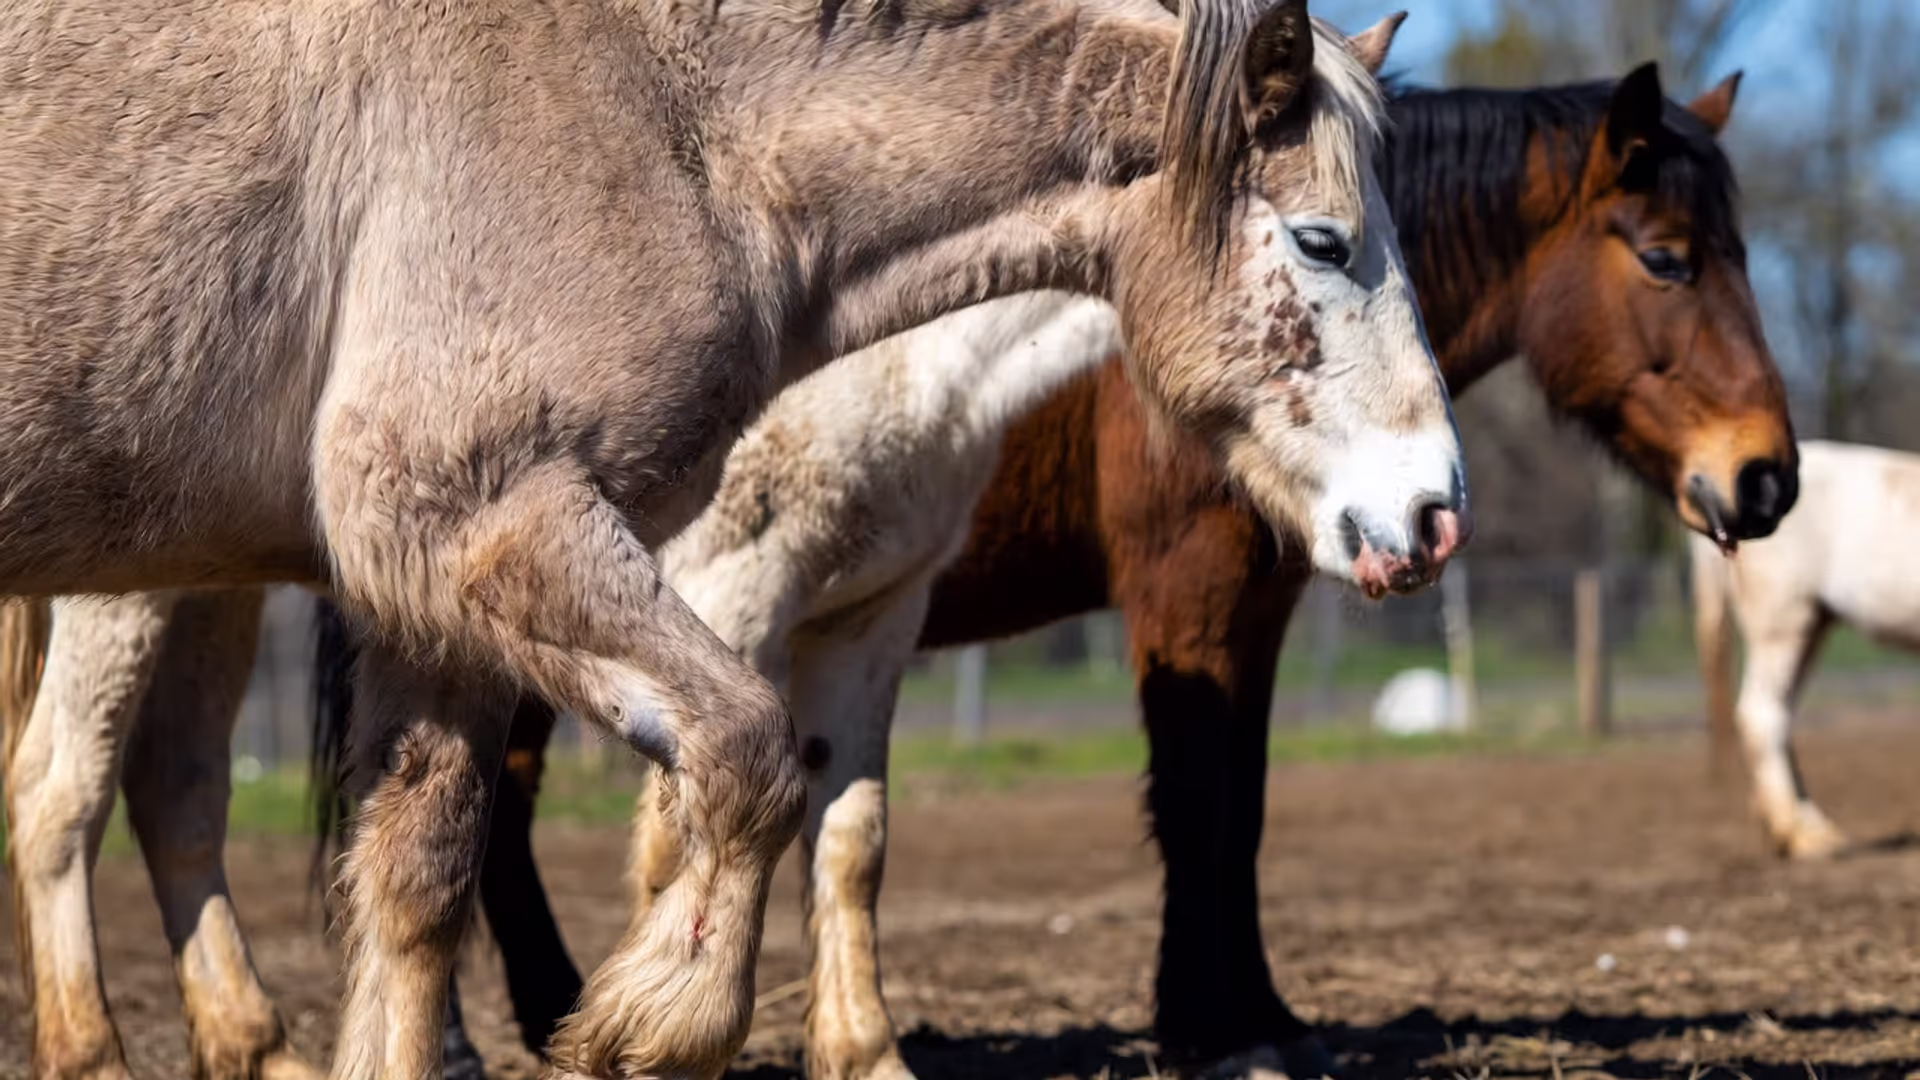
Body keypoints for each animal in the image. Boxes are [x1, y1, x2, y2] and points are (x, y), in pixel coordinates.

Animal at [0, 2, 1470, 1076]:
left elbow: (423, 885)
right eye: (1324, 242)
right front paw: (648, 1017)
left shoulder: (456, 596)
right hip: (131, 591)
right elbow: (743, 770)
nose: (1432, 510)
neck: (668, 119)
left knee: (174, 789)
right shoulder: (539, 532)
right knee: (63, 792)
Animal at [410, 60, 1799, 1079]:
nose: (1766, 479)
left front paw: (1259, 1016)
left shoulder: (1254, 599)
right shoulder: (1184, 586)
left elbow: (1236, 807)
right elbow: (1196, 803)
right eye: (1668, 257)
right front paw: (1213, 1029)